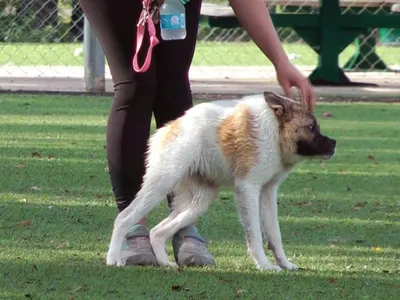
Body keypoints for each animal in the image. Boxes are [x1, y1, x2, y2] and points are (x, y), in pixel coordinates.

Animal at [107, 92, 338, 272]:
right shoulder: (248, 190)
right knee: (123, 218)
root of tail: (169, 127)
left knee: (157, 232)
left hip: (199, 202)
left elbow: (275, 234)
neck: (275, 133)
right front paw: (264, 265)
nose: (334, 143)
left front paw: (285, 263)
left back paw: (164, 262)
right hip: (161, 184)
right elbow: (255, 234)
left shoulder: (268, 193)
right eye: (311, 127)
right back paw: (112, 259)